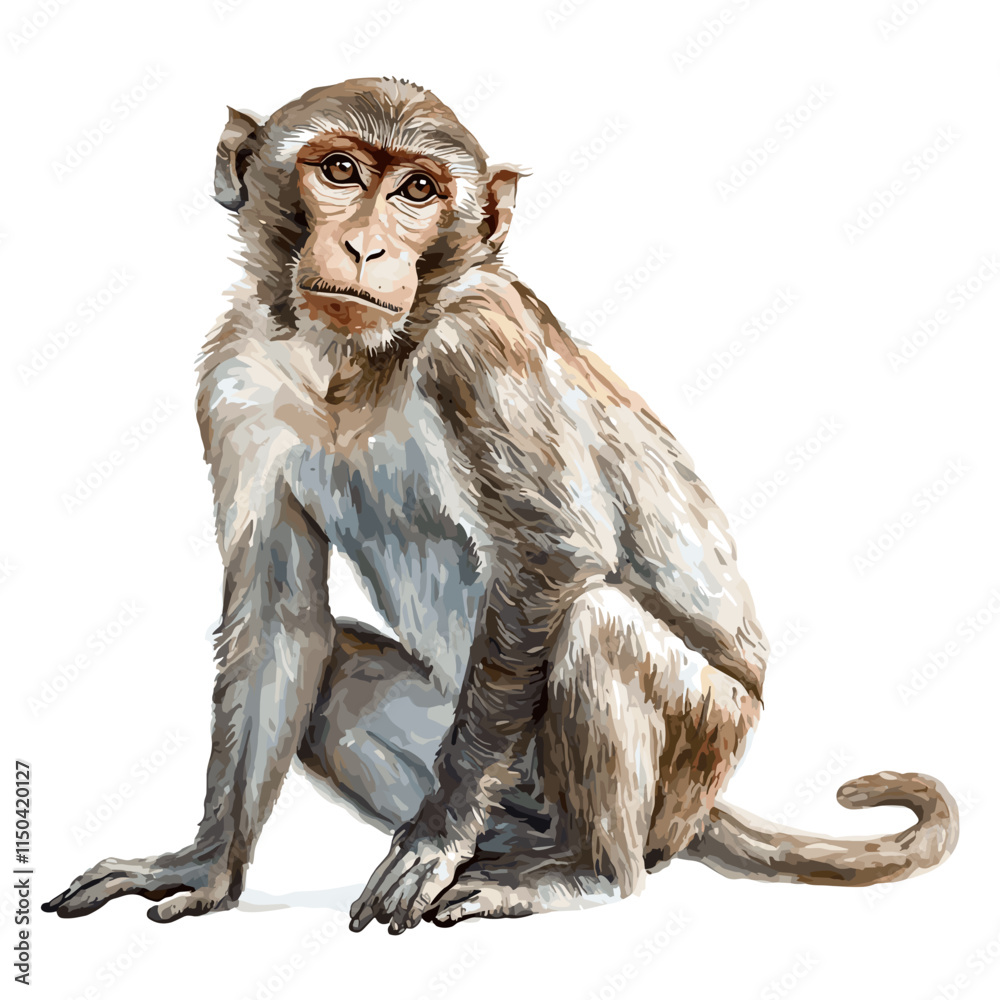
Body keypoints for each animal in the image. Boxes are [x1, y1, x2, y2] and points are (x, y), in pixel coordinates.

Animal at [43, 78, 957, 934]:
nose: (367, 245)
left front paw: (436, 838)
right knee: (338, 672)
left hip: (699, 745)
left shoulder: (480, 349)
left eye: (417, 189)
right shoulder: (235, 377)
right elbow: (278, 616)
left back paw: (581, 872)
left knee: (594, 624)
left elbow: (553, 553)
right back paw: (511, 850)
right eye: (339, 170)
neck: (352, 363)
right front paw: (207, 863)